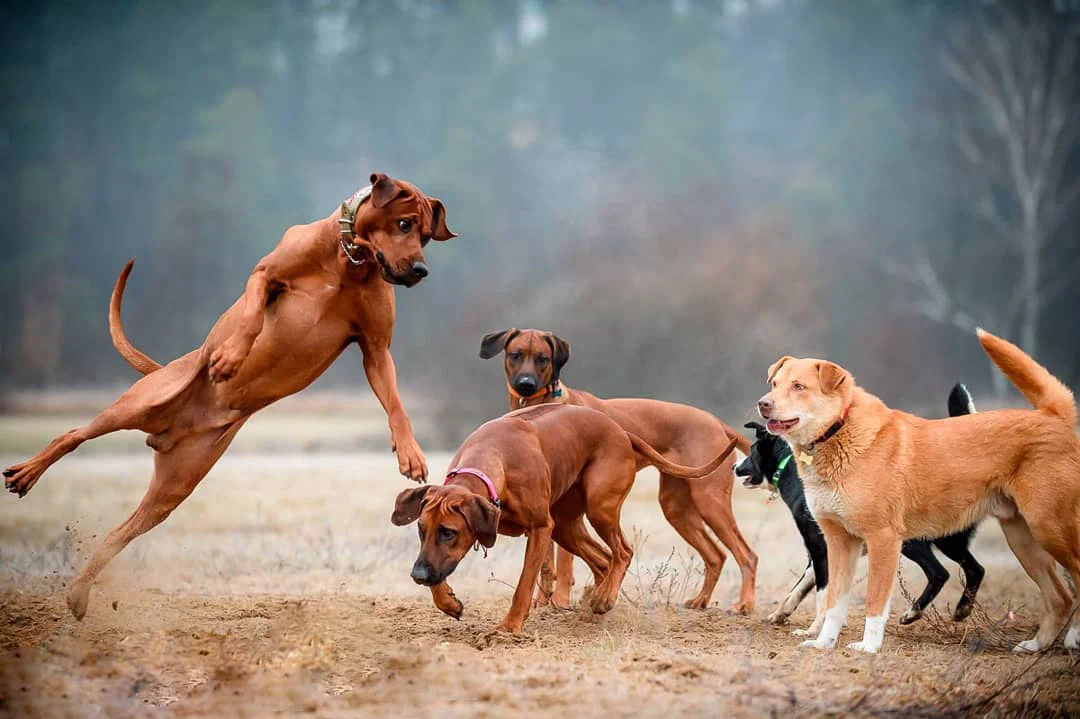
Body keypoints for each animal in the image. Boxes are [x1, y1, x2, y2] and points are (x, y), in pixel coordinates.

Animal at [3, 172, 455, 617]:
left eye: (426, 235)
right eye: (404, 224)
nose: (420, 269)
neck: (350, 260)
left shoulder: (376, 349)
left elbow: (395, 403)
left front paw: (409, 452)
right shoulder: (264, 274)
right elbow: (253, 310)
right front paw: (230, 355)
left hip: (177, 484)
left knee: (123, 530)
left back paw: (79, 591)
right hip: (136, 404)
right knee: (72, 435)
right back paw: (27, 473)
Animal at [388, 403, 734, 634]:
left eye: (449, 532)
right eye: (421, 530)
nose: (417, 575)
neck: (492, 459)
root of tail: (621, 431)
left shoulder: (541, 528)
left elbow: (524, 584)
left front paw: (509, 627)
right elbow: (440, 572)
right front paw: (448, 602)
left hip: (598, 506)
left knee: (622, 552)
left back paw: (603, 599)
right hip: (567, 526)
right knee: (603, 559)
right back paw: (594, 605)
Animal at [481, 328, 760, 613]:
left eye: (543, 358)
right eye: (515, 355)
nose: (526, 383)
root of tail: (716, 422)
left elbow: (564, 563)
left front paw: (560, 601)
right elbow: (546, 563)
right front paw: (541, 601)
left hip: (709, 499)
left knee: (747, 554)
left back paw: (744, 604)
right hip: (676, 507)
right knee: (716, 555)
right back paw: (701, 600)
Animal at [738, 380, 984, 634]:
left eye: (752, 450)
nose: (735, 467)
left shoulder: (819, 547)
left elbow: (822, 594)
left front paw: (813, 630)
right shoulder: (827, 550)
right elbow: (800, 588)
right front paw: (781, 613)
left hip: (912, 542)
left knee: (939, 573)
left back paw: (913, 612)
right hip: (950, 541)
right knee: (975, 569)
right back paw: (961, 609)